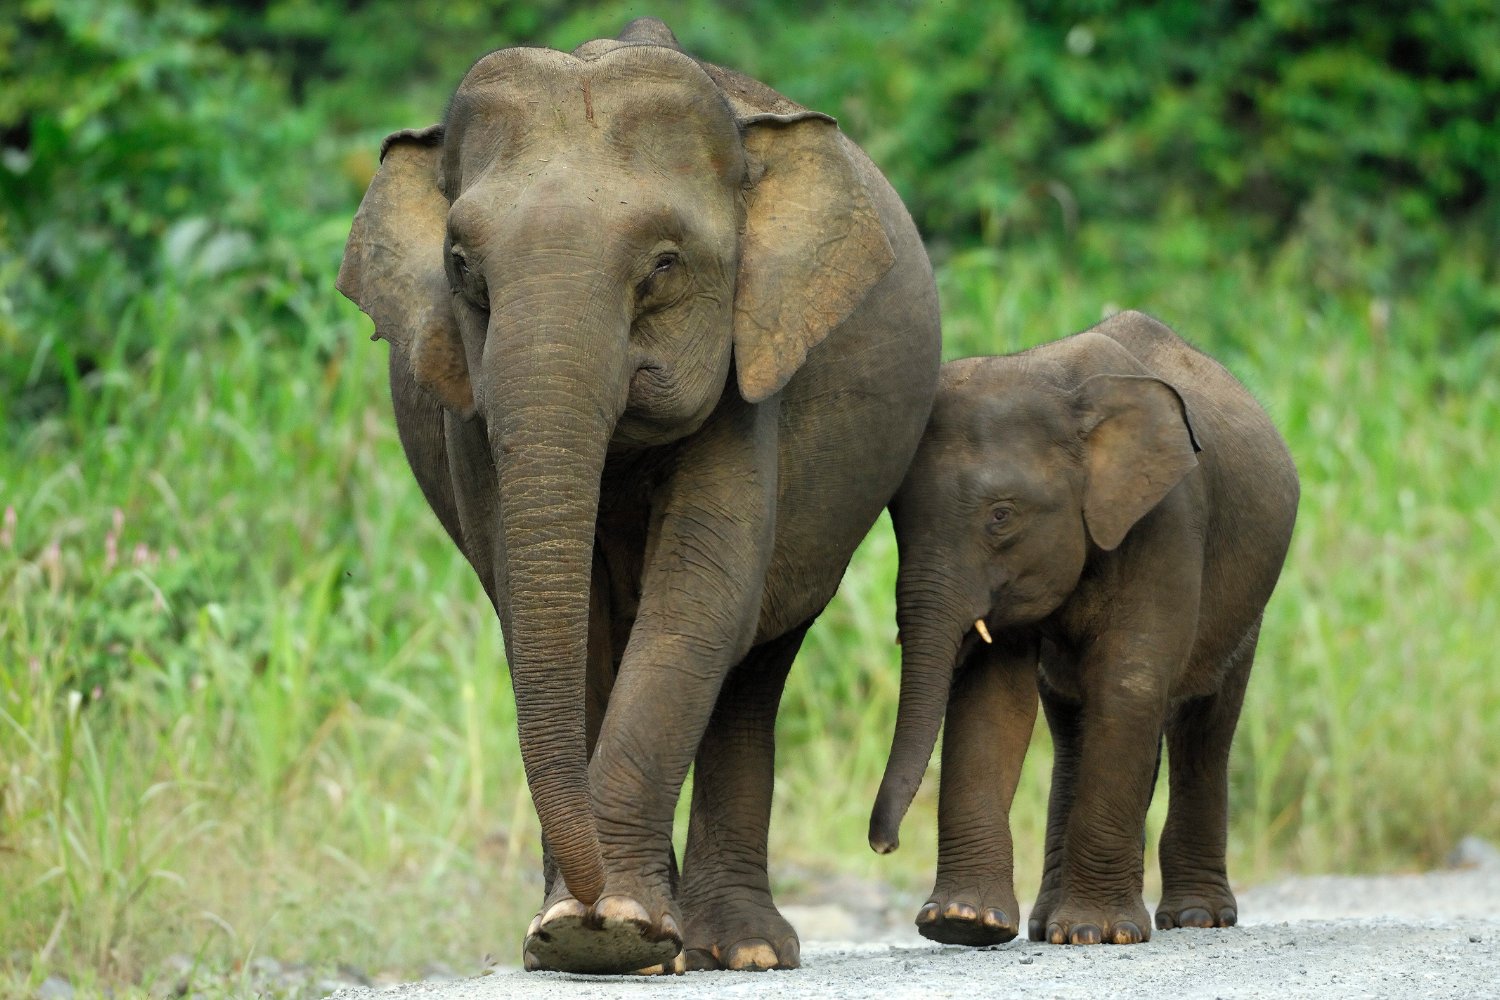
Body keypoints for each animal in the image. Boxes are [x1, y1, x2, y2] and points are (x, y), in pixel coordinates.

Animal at [336, 18, 941, 975]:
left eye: (662, 266)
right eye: (463, 271)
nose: (583, 905)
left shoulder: (753, 369)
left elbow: (701, 591)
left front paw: (612, 930)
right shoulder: (463, 398)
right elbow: (551, 607)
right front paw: (580, 935)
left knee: (754, 667)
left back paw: (738, 951)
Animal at [867, 311, 1298, 947]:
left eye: (1001, 516)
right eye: (896, 518)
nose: (883, 844)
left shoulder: (1167, 517)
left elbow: (1130, 684)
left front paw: (1097, 932)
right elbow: (992, 699)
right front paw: (963, 924)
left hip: (1251, 601)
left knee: (1205, 726)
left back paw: (1194, 919)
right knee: (1073, 726)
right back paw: (1049, 924)